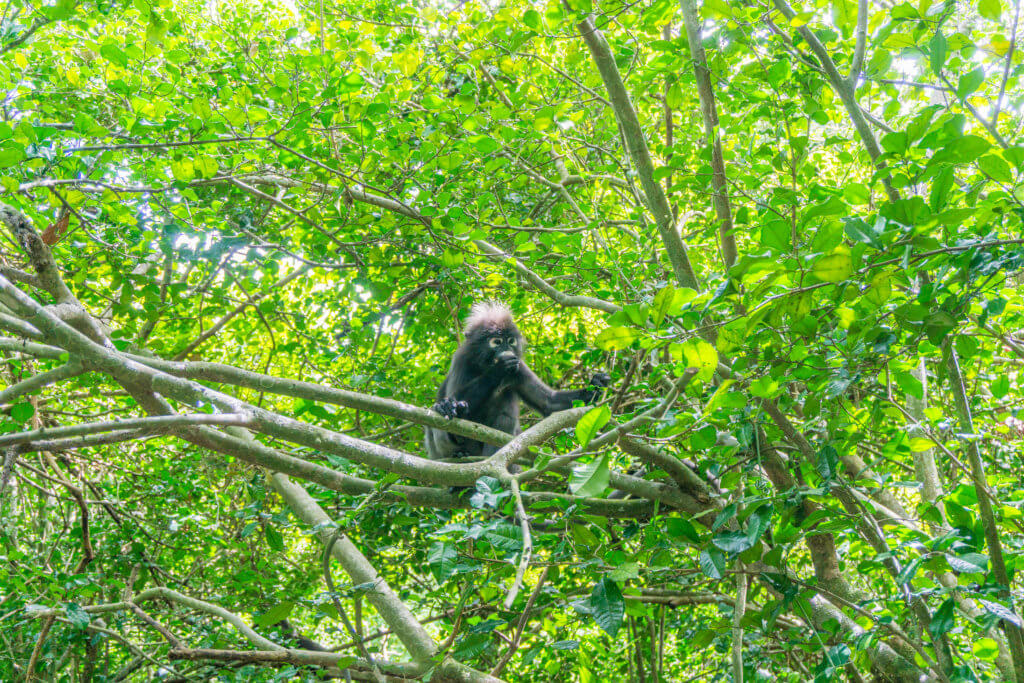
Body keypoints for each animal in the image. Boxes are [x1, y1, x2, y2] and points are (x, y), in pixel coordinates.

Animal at [423, 303, 606, 458]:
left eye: (510, 341)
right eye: (497, 342)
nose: (507, 349)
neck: (485, 364)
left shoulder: (519, 366)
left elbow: (548, 402)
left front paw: (596, 384)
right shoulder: (462, 360)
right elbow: (455, 395)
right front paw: (498, 370)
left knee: (504, 417)